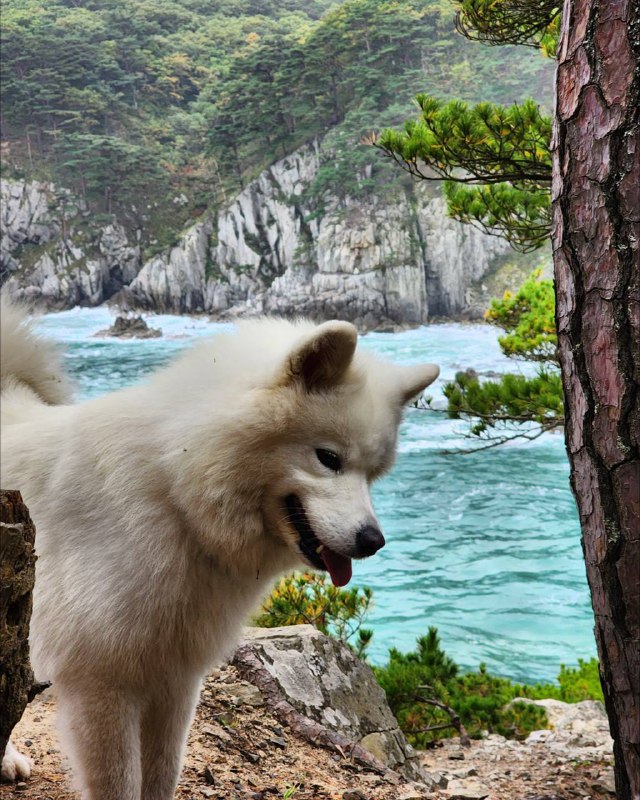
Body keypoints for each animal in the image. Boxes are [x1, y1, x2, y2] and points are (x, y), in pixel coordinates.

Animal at [0, 302, 440, 800]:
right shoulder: (101, 685)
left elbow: (161, 776)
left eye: (374, 474)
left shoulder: (173, 679)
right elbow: (120, 783)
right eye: (328, 458)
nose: (373, 541)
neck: (175, 494)